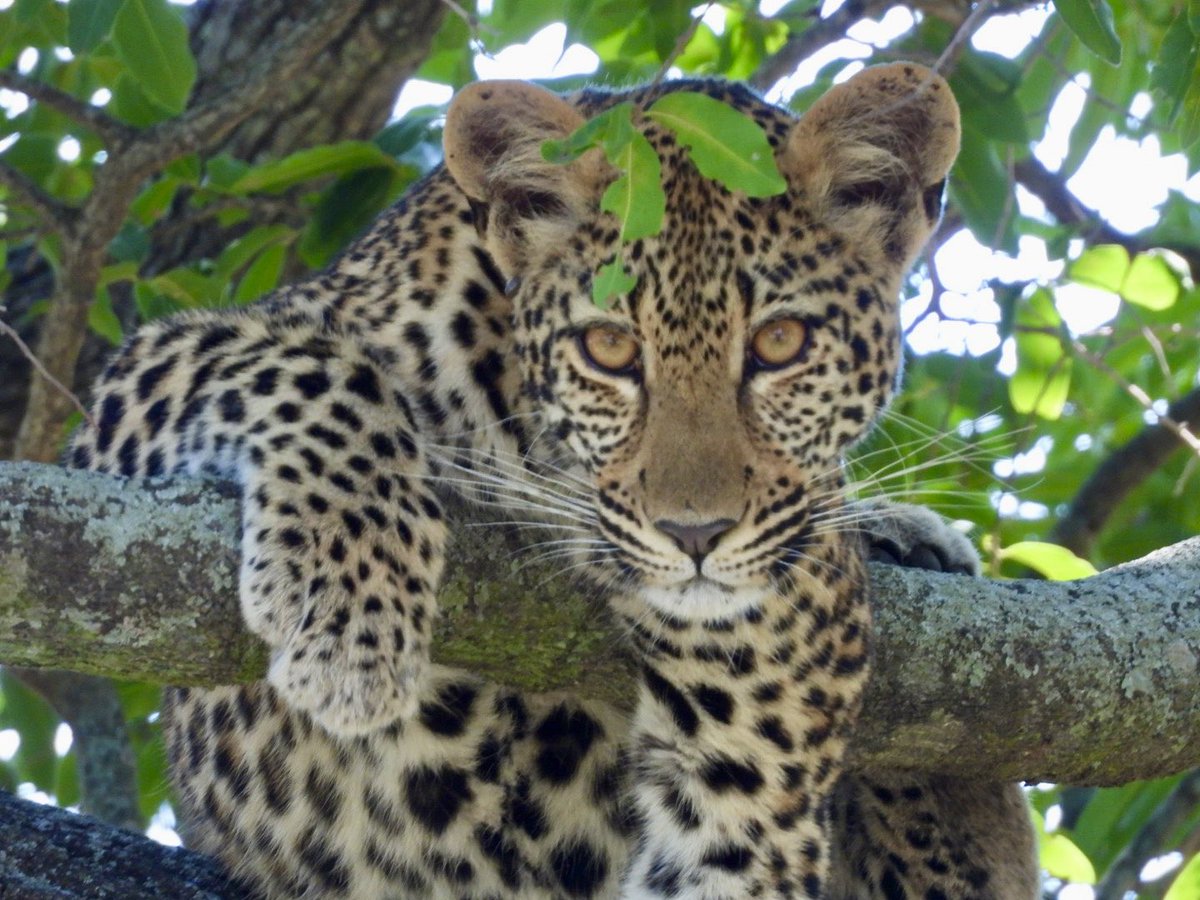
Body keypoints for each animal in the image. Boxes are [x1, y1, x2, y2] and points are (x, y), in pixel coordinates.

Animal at [68, 65, 1041, 900]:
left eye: (781, 344)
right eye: (608, 349)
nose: (695, 535)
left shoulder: (742, 802)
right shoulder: (134, 412)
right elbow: (319, 368)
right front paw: (350, 614)